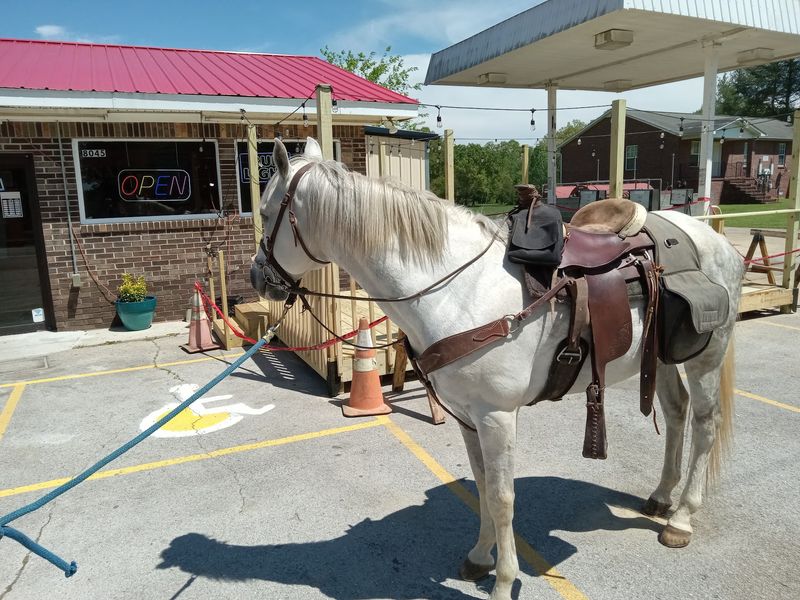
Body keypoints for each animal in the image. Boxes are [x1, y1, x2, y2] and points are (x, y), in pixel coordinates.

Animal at [250, 138, 743, 600]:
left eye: (267, 210)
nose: (258, 277)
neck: (457, 287)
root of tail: (716, 240)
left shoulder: (497, 416)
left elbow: (504, 498)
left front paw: (505, 582)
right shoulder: (468, 417)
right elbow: (483, 487)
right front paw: (479, 557)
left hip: (705, 356)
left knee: (705, 422)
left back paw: (681, 518)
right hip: (661, 359)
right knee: (677, 414)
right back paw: (661, 497)